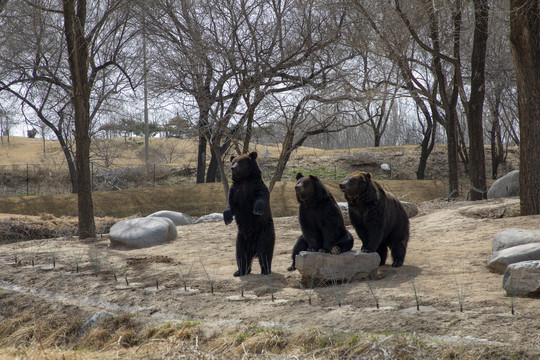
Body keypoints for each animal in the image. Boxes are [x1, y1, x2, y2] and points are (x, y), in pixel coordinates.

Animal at [223, 150, 274, 278]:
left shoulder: (256, 187)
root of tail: (253, 249)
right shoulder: (235, 191)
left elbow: (260, 198)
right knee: (241, 254)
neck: (244, 180)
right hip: (241, 237)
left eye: (240, 162)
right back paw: (240, 271)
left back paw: (265, 270)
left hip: (264, 231)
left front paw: (257, 210)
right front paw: (227, 219)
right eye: (233, 161)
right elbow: (230, 204)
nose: (232, 168)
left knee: (264, 251)